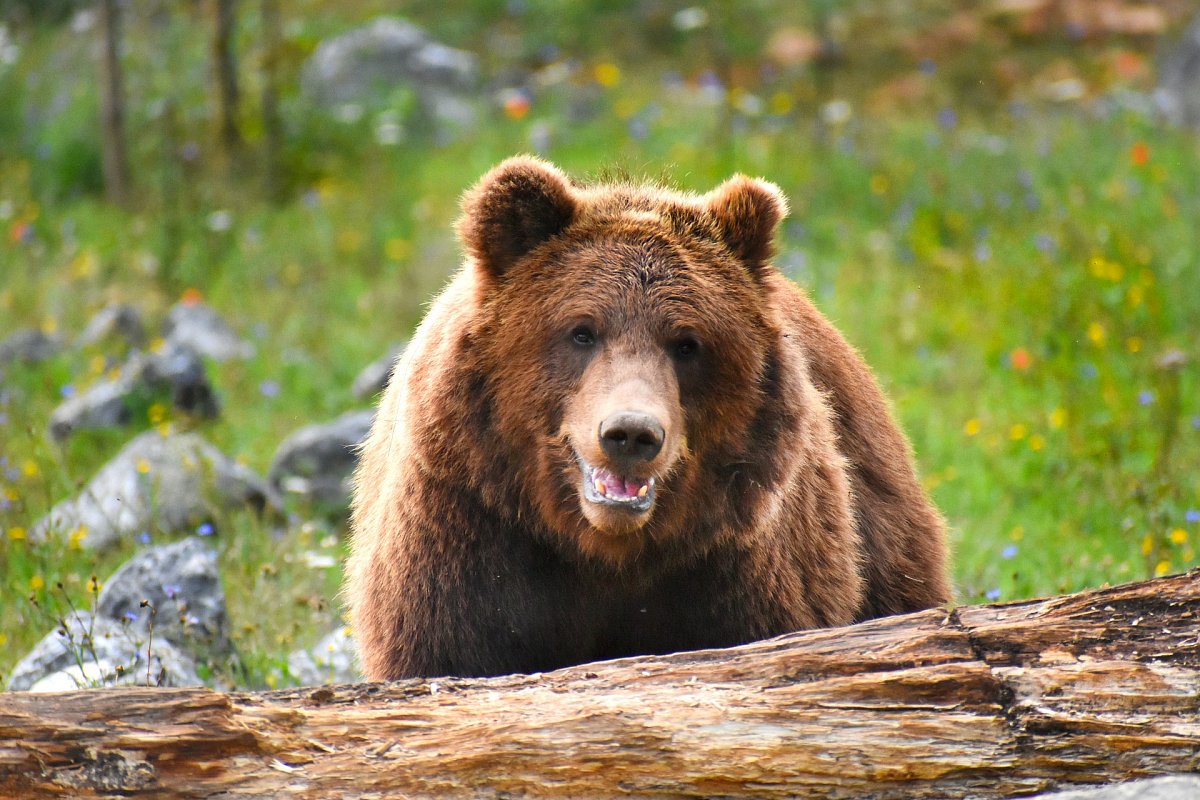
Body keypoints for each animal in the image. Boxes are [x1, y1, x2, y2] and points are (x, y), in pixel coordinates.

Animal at [343, 155, 950, 681]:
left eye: (687, 343)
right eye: (581, 331)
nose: (631, 434)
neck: (606, 551)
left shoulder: (739, 569)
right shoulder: (470, 534)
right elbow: (449, 648)